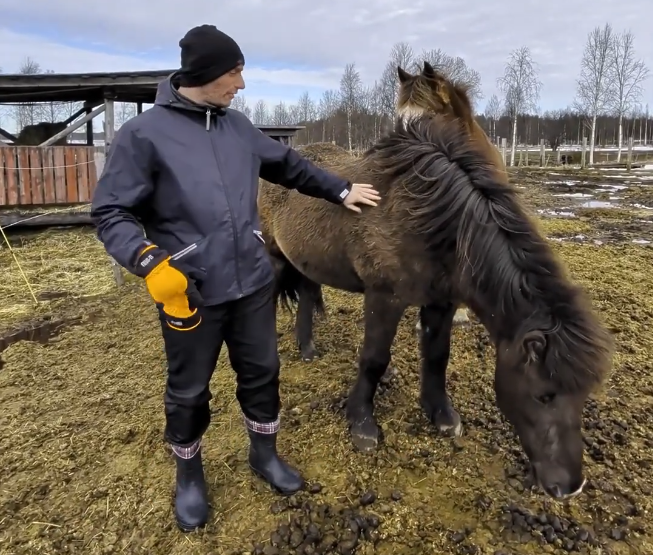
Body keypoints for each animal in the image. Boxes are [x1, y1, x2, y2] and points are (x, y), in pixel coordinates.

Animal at [257, 62, 613, 500]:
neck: (430, 221)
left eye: (583, 396)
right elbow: (374, 359)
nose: (569, 486)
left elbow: (437, 356)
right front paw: (362, 423)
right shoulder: (384, 297)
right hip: (274, 255)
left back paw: (307, 347)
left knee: (308, 292)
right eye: (543, 395)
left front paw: (440, 413)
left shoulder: (442, 301)